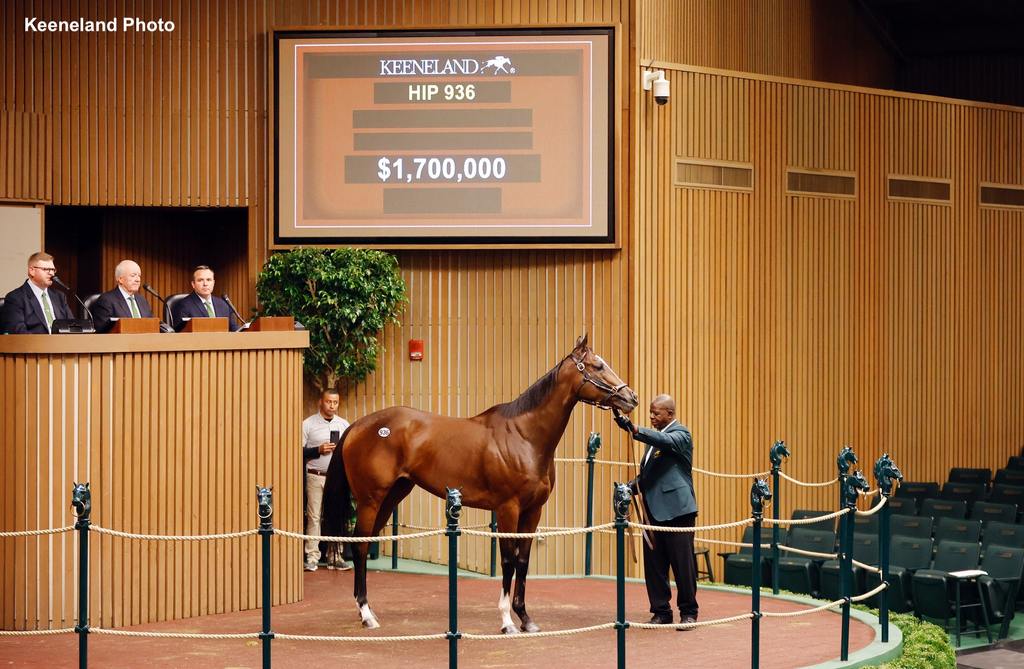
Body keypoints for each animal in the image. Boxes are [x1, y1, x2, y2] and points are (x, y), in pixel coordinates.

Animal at [323, 333, 634, 631]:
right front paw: (507, 621)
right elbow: (508, 559)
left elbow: (523, 561)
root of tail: (356, 426)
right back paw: (366, 615)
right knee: (359, 547)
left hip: (392, 496)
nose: (631, 397)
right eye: (597, 366)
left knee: (366, 542)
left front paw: (525, 618)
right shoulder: (508, 509)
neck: (525, 437)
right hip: (370, 500)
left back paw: (368, 611)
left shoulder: (534, 511)